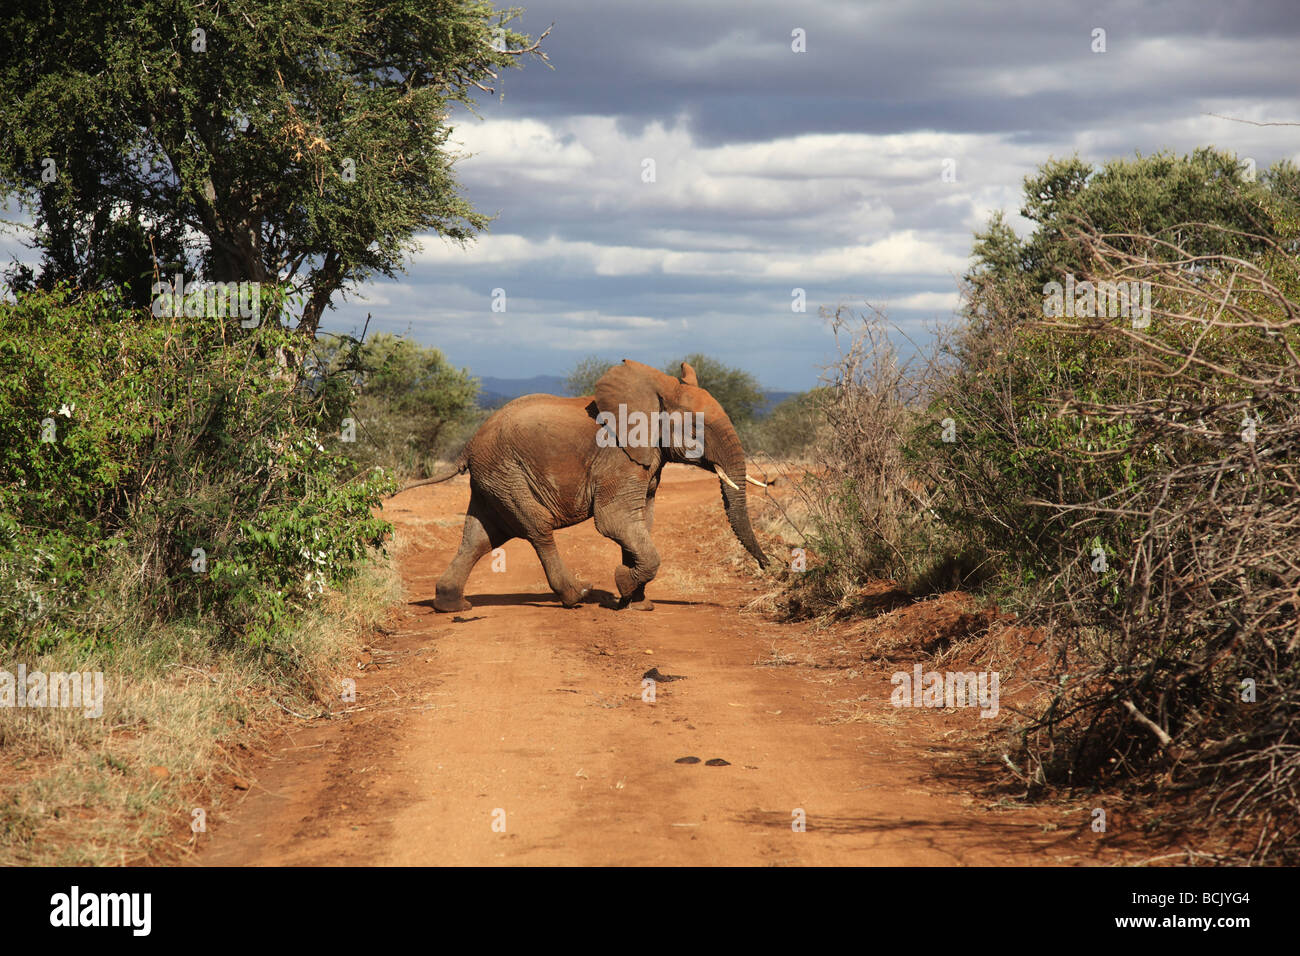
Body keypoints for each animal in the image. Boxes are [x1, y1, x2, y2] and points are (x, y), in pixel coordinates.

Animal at [403, 358, 769, 613]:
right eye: (697, 428)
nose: (768, 566)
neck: (654, 391)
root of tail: (469, 444)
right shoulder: (618, 458)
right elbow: (615, 521)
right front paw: (622, 587)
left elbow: (641, 522)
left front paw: (637, 603)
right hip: (507, 472)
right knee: (536, 527)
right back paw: (576, 595)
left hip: (493, 478)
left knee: (480, 537)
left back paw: (453, 605)